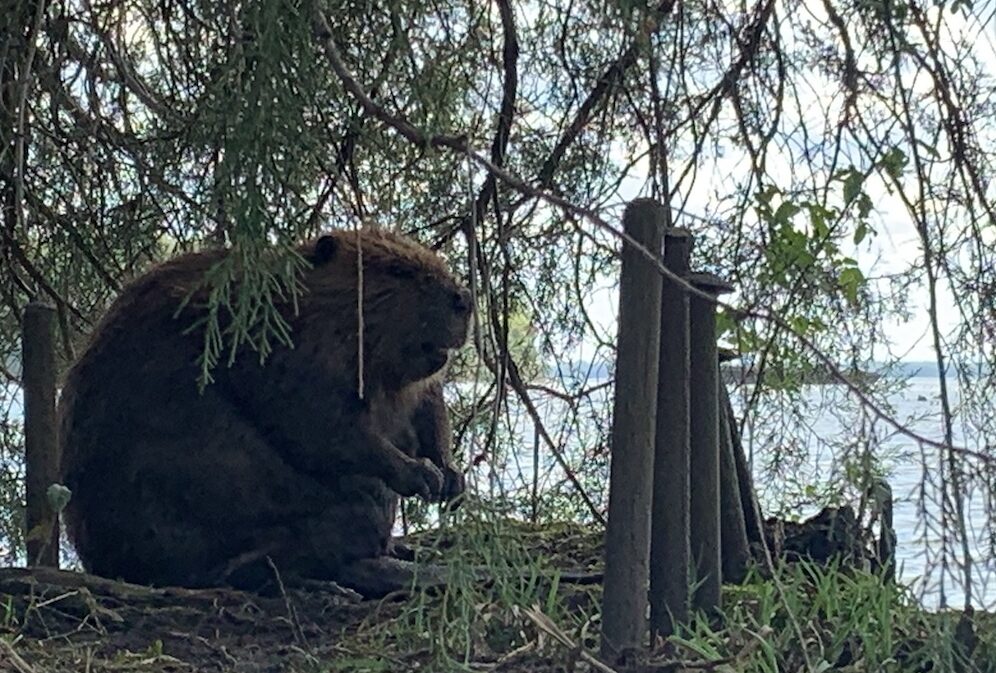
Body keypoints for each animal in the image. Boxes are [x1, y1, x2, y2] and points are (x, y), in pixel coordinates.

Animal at [60, 228, 472, 592]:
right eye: (397, 270)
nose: (464, 299)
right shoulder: (279, 346)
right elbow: (317, 425)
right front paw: (419, 474)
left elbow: (428, 407)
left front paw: (451, 479)